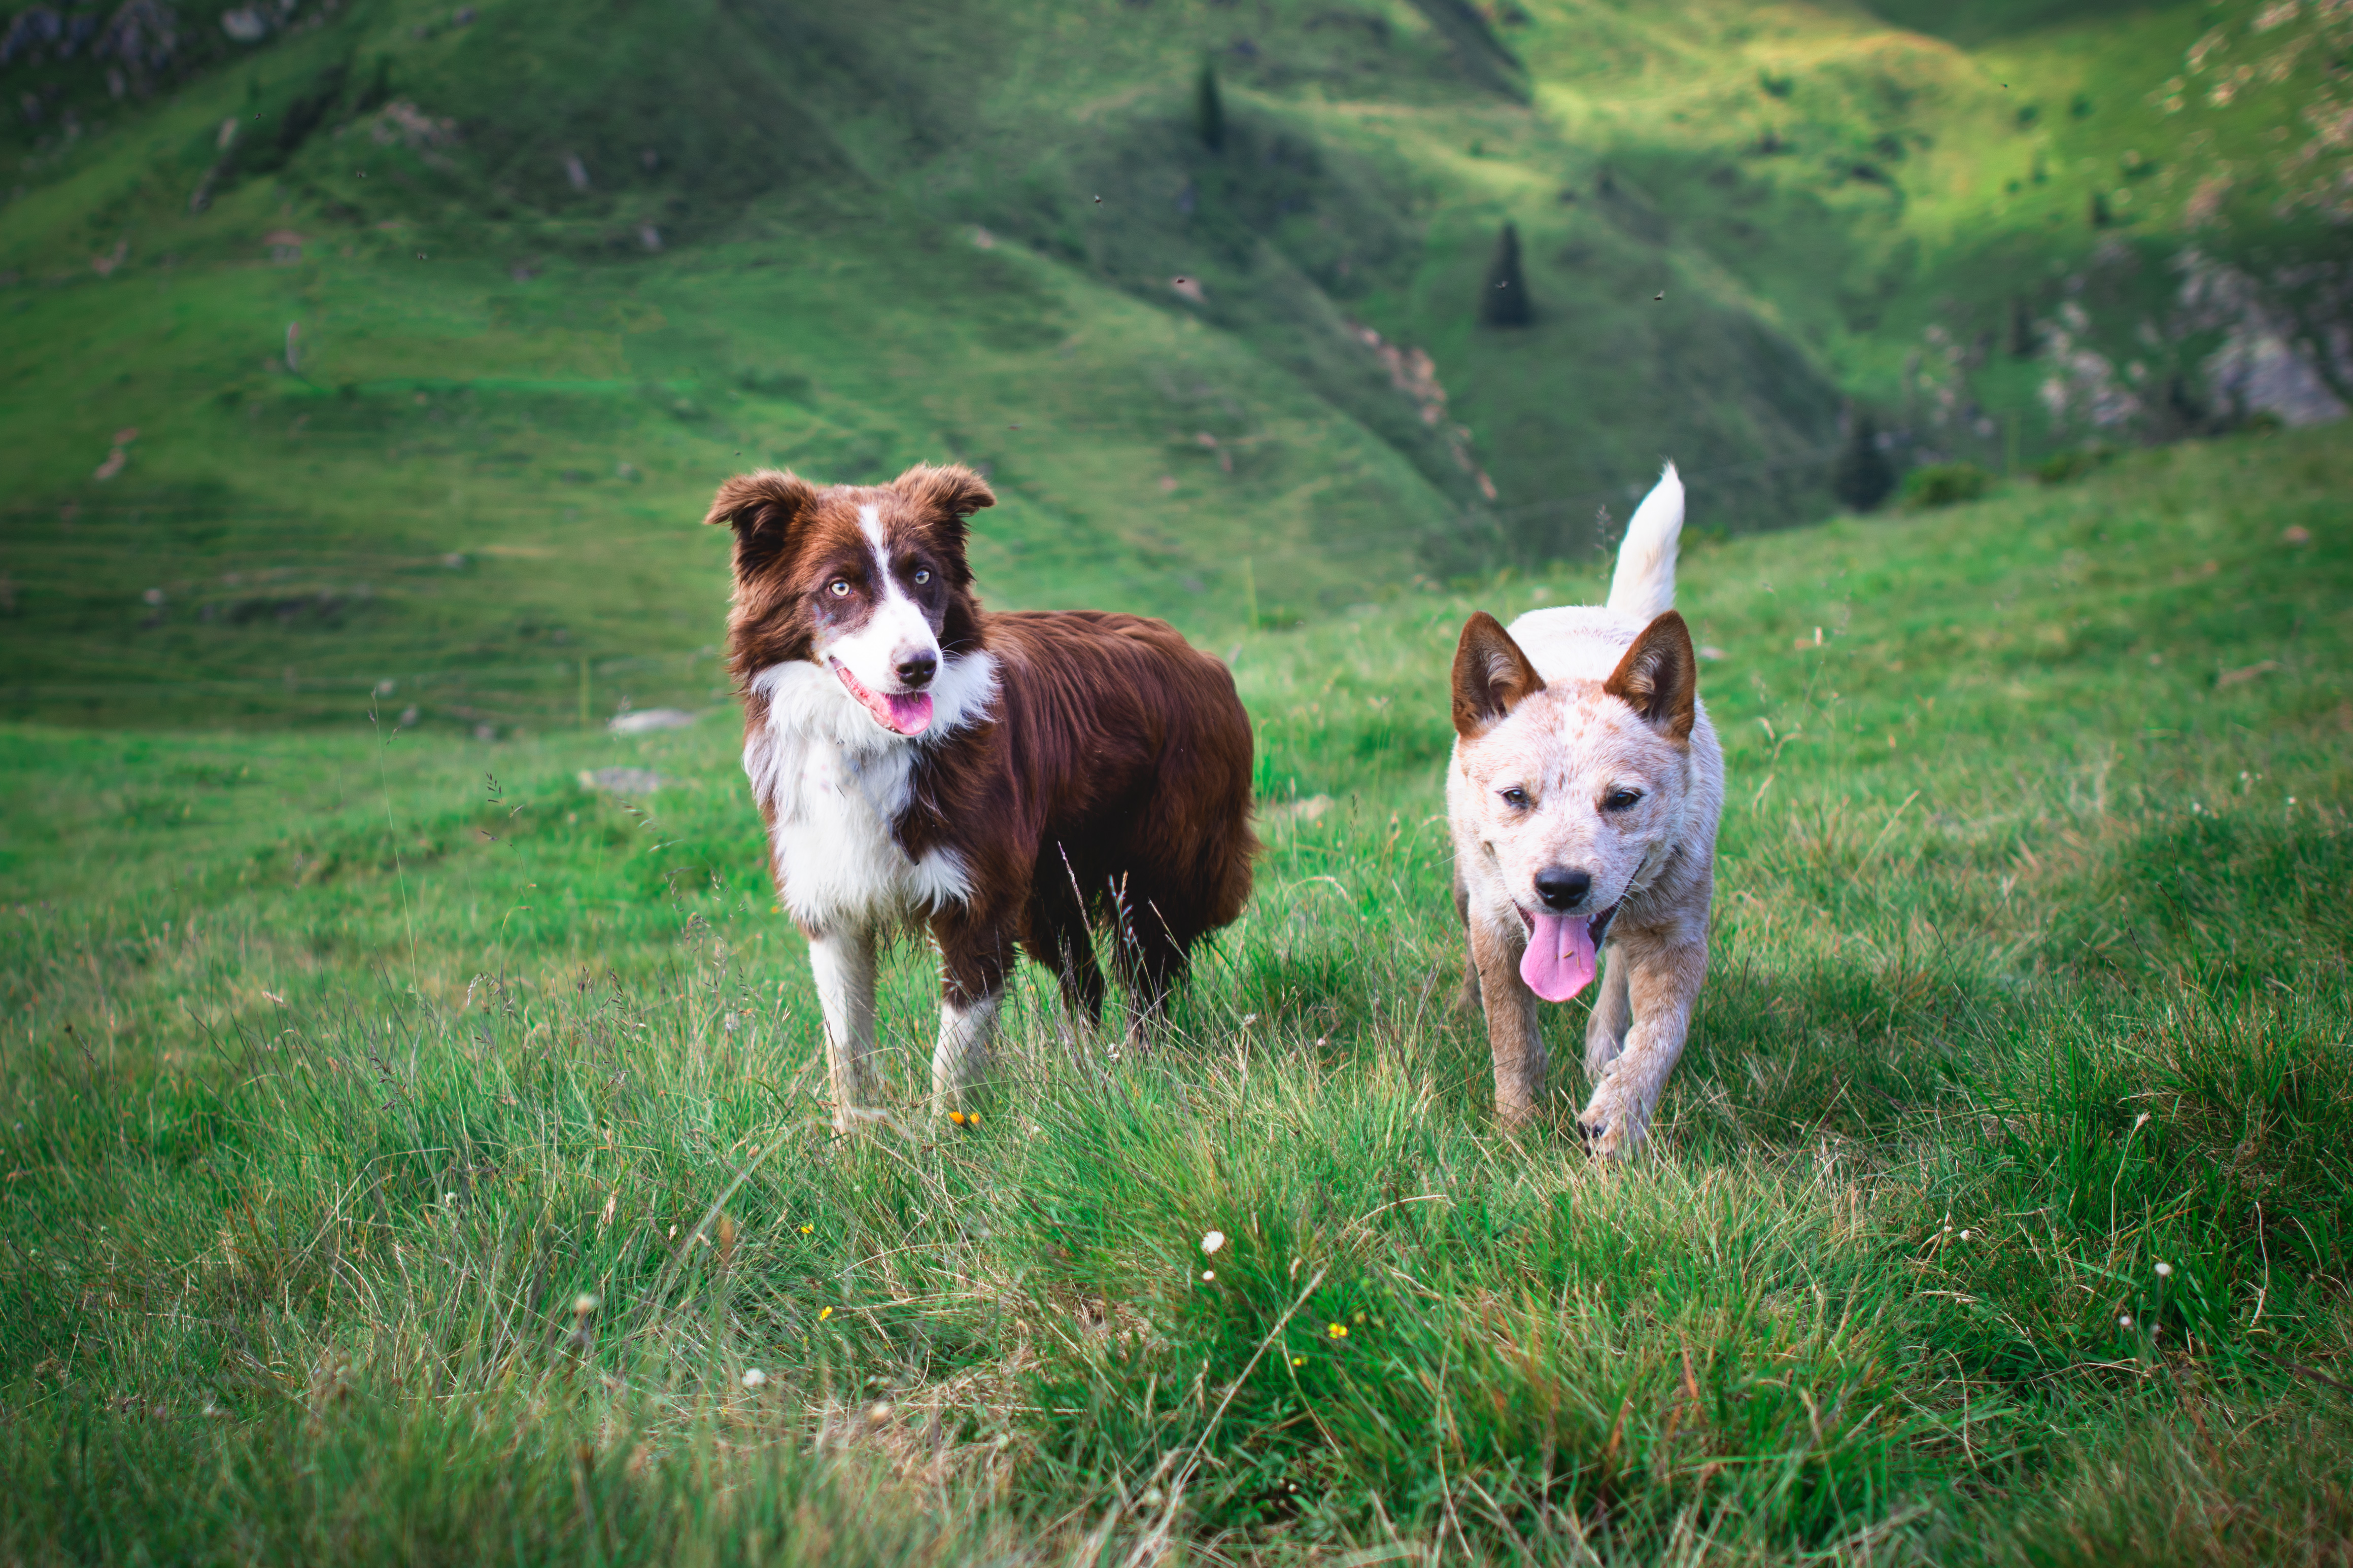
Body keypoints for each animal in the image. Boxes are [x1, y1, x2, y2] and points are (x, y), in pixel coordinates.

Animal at [701, 461, 1261, 1124]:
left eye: (923, 575)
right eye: (839, 587)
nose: (920, 666)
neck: (869, 745)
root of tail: (1200, 657)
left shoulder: (978, 901)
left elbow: (954, 1057)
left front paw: (951, 1139)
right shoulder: (833, 905)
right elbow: (849, 1055)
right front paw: (856, 1144)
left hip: (1153, 866)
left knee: (1145, 979)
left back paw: (1141, 1076)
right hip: (1049, 890)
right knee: (1086, 980)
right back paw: (1083, 1079)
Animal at [1440, 465, 1722, 1152]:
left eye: (1622, 799)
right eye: (1515, 796)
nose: (1561, 887)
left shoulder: (1678, 934)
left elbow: (1660, 1036)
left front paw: (1615, 1119)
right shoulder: (1494, 921)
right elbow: (1512, 1035)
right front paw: (1515, 1131)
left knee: (1615, 979)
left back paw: (1600, 1054)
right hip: (1465, 888)